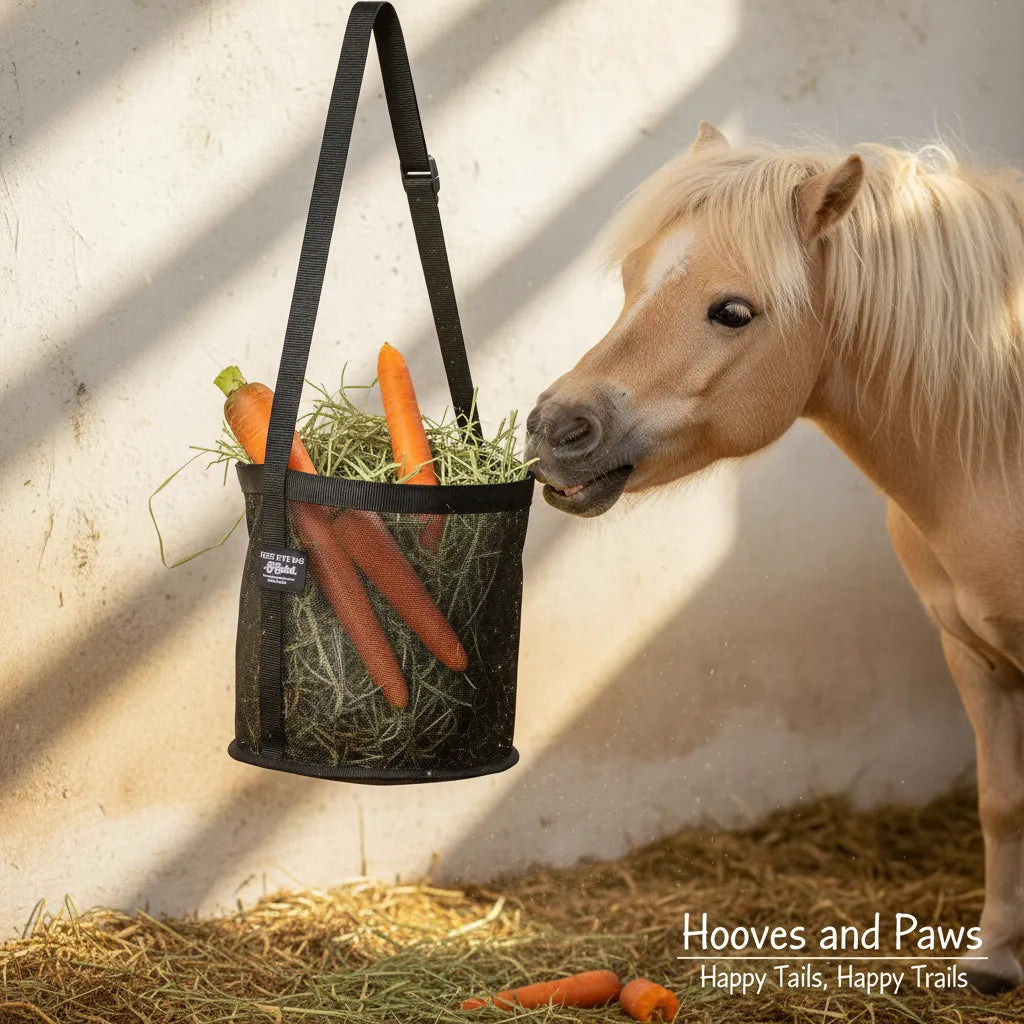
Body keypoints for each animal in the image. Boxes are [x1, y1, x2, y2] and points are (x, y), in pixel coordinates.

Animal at [524, 121, 1024, 993]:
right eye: (630, 278)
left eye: (734, 311)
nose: (558, 429)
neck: (994, 451)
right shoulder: (973, 656)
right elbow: (1002, 803)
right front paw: (995, 960)